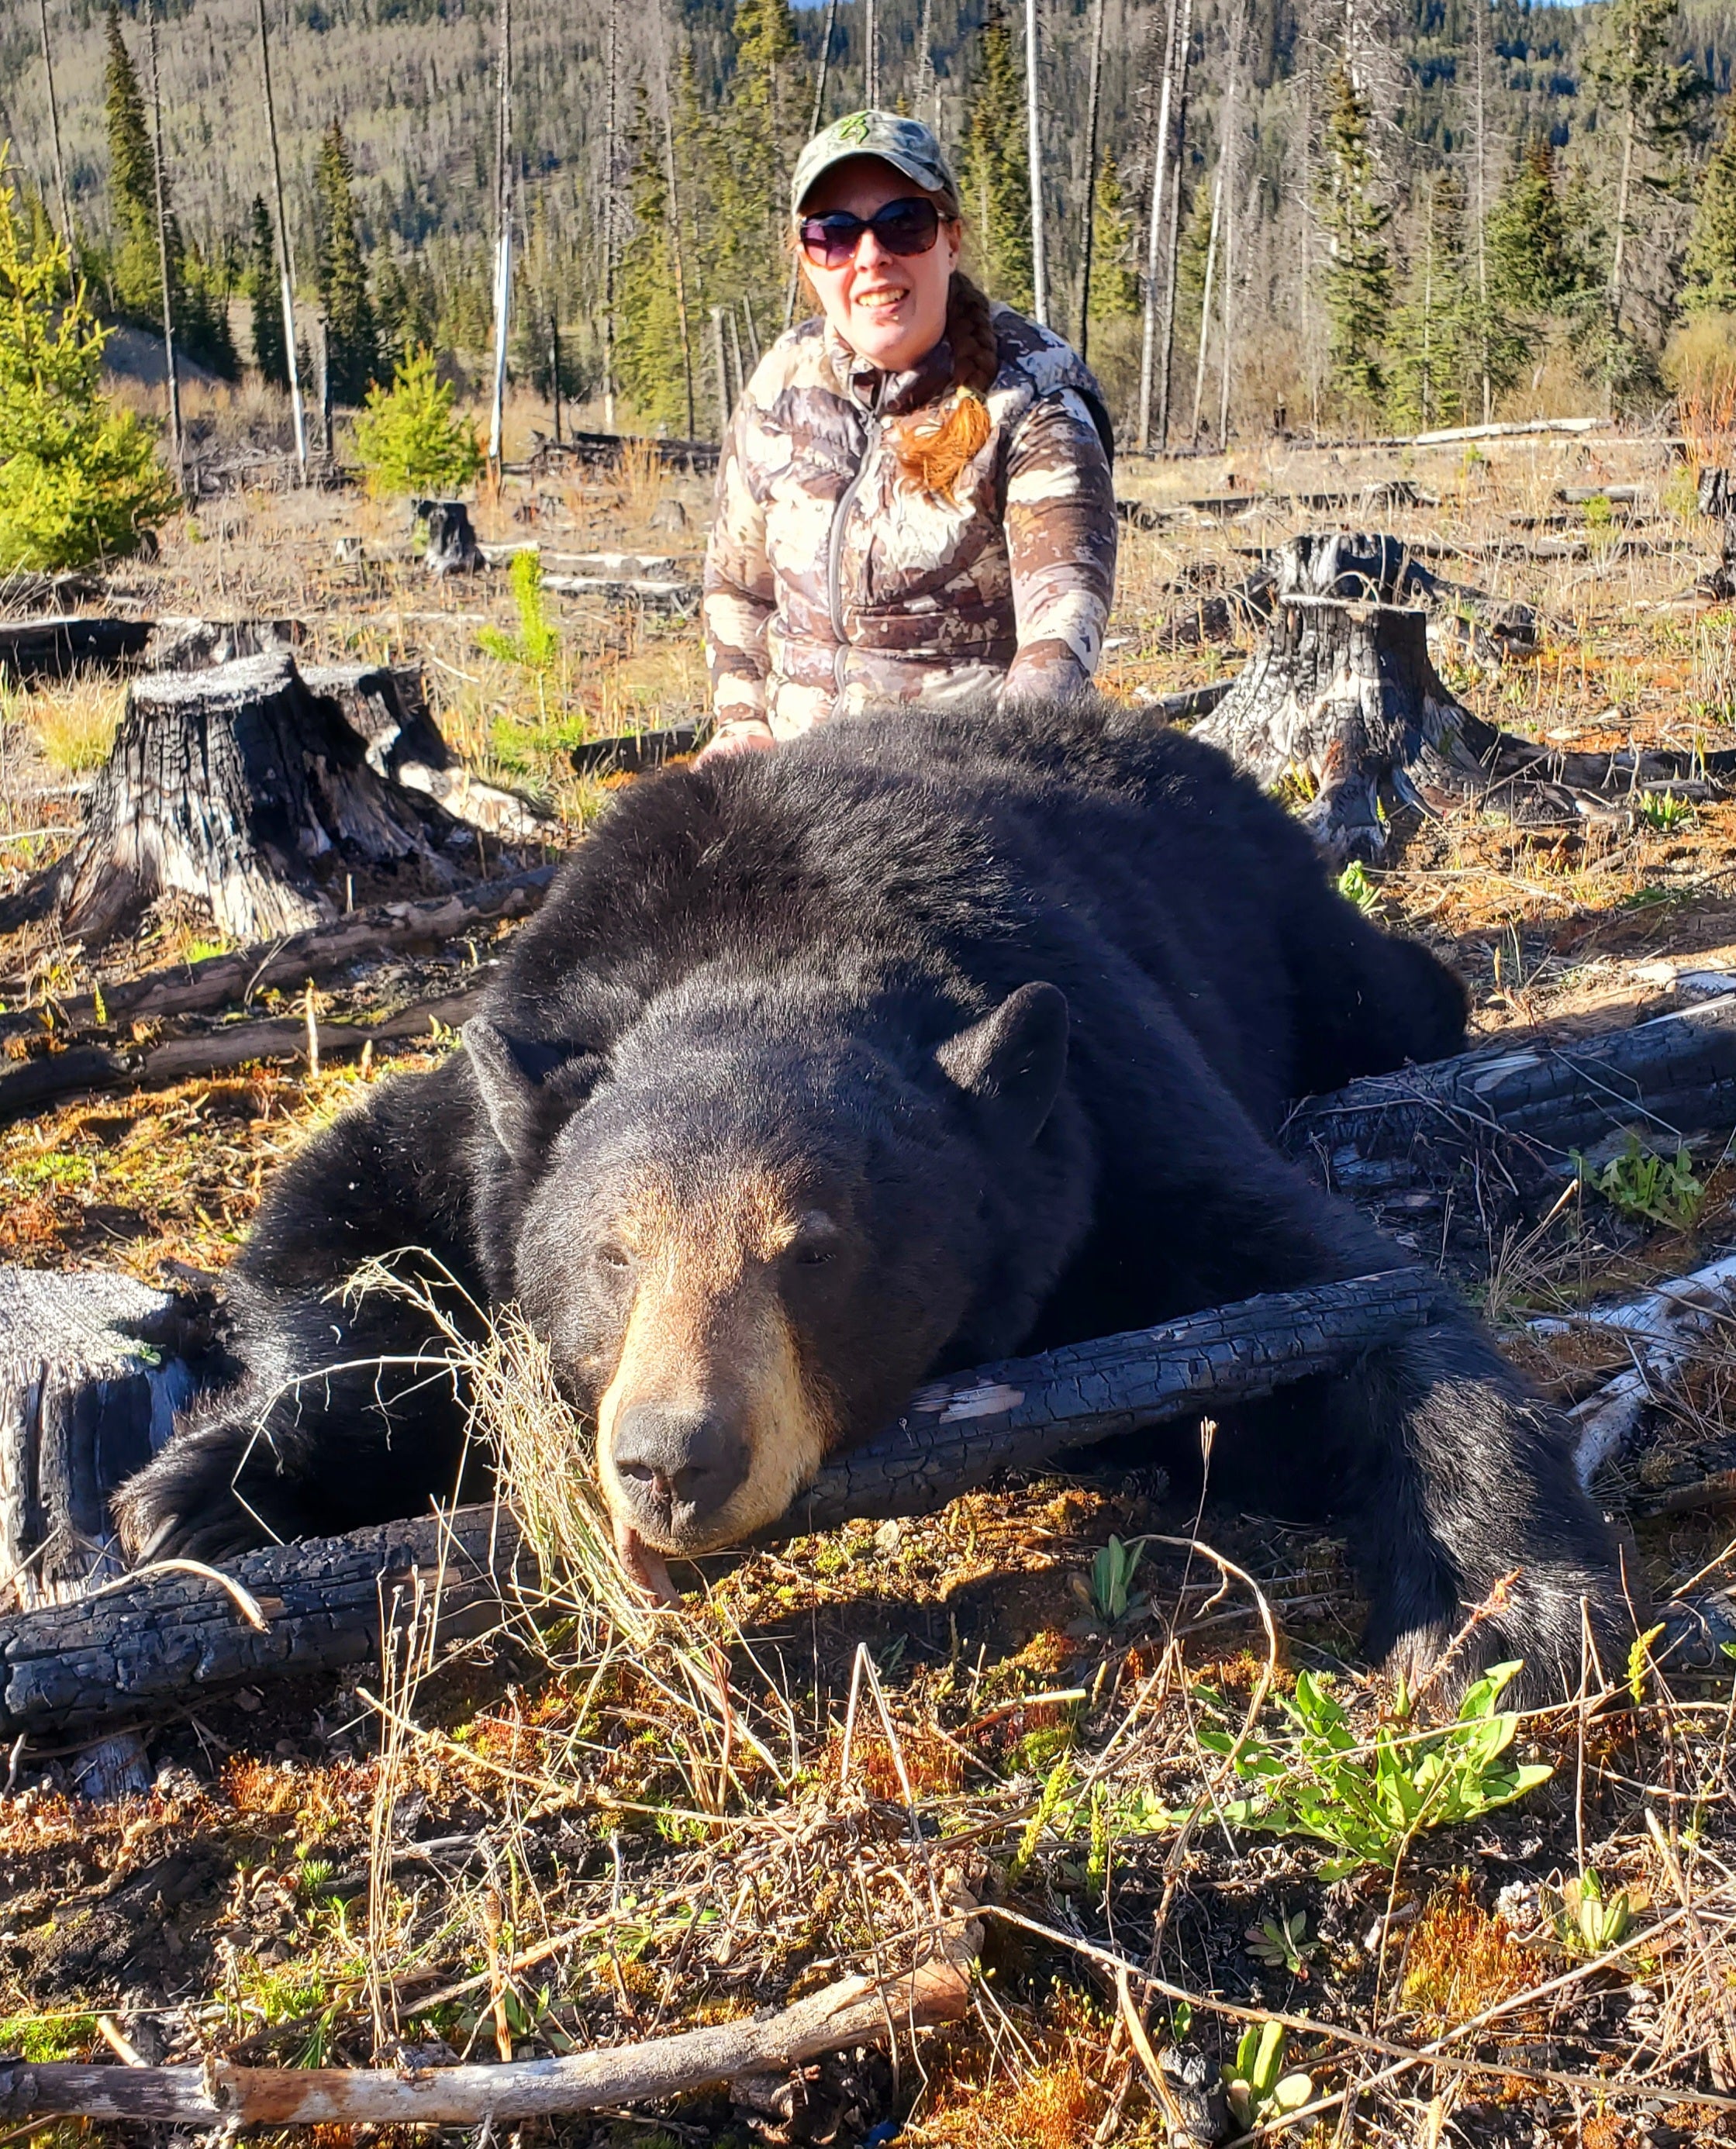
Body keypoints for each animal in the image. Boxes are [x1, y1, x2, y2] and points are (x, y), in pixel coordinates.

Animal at [115, 694, 1631, 1697]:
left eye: (813, 1251)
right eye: (614, 1255)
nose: (672, 1461)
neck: (765, 934)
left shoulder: (1098, 1098)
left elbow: (1335, 1297)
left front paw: (1498, 1604)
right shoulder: (501, 1086)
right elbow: (343, 1221)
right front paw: (199, 1496)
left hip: (1277, 921)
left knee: (1391, 989)